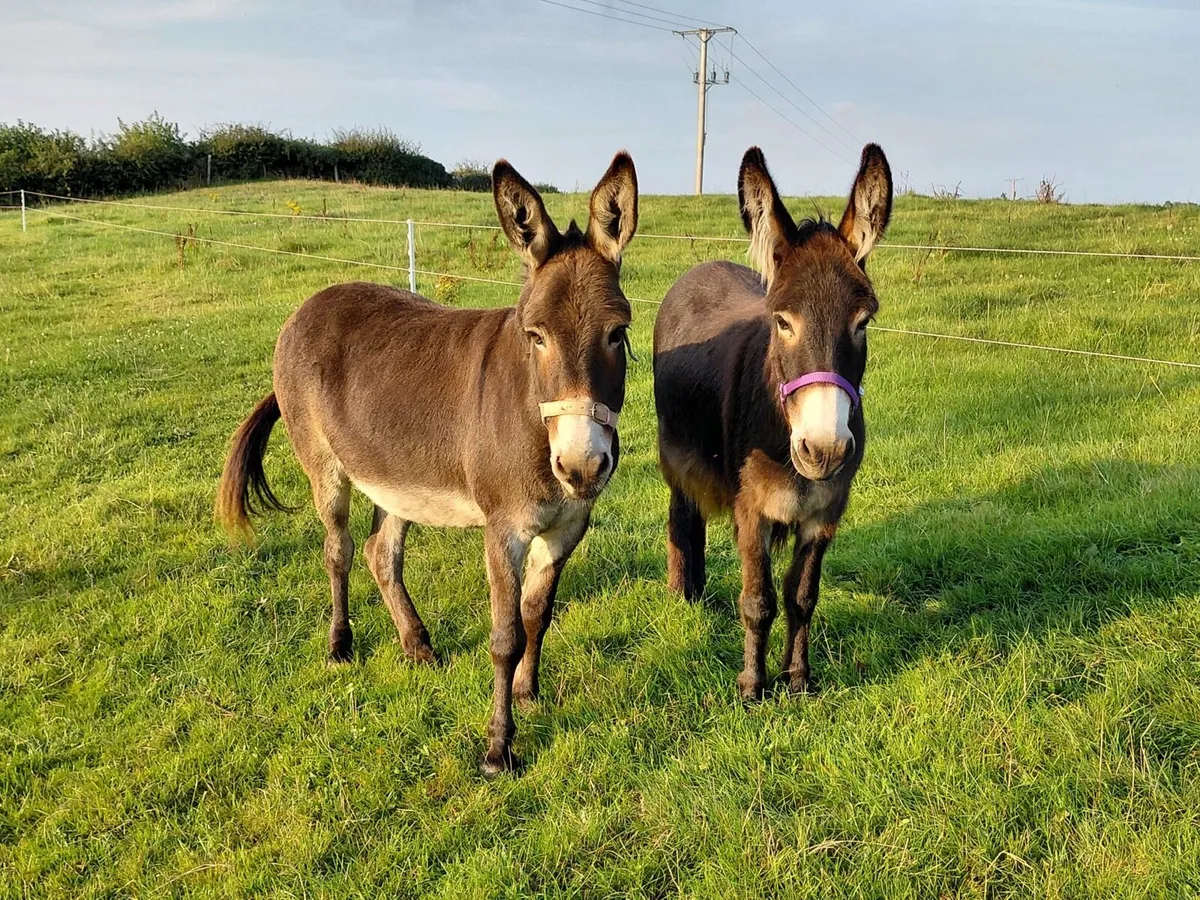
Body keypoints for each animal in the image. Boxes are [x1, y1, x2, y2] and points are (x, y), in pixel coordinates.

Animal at [217, 152, 639, 775]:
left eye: (618, 332)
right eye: (534, 335)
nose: (582, 466)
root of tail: (312, 301)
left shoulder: (567, 527)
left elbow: (538, 614)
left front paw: (528, 693)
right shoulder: (503, 530)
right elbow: (505, 636)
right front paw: (498, 749)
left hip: (394, 479)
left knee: (381, 553)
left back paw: (417, 646)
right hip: (327, 470)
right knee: (339, 550)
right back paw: (340, 646)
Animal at [652, 144, 892, 699]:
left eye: (863, 321)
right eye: (782, 321)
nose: (824, 450)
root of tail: (704, 266)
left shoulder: (824, 516)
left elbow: (801, 598)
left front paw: (798, 679)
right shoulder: (752, 511)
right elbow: (757, 601)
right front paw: (752, 686)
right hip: (676, 457)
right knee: (683, 517)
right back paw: (683, 595)